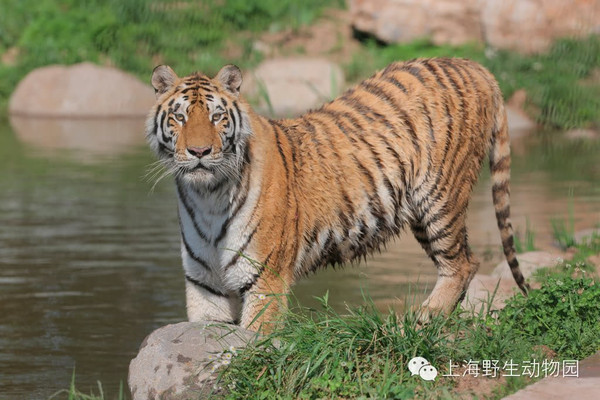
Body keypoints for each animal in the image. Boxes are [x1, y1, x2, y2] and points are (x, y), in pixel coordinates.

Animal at [146, 56, 528, 332]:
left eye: (217, 117)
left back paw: (423, 320)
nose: (199, 152)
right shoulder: (204, 286)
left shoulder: (266, 281)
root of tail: (473, 65)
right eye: (179, 117)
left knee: (461, 263)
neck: (208, 196)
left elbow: (254, 340)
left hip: (439, 197)